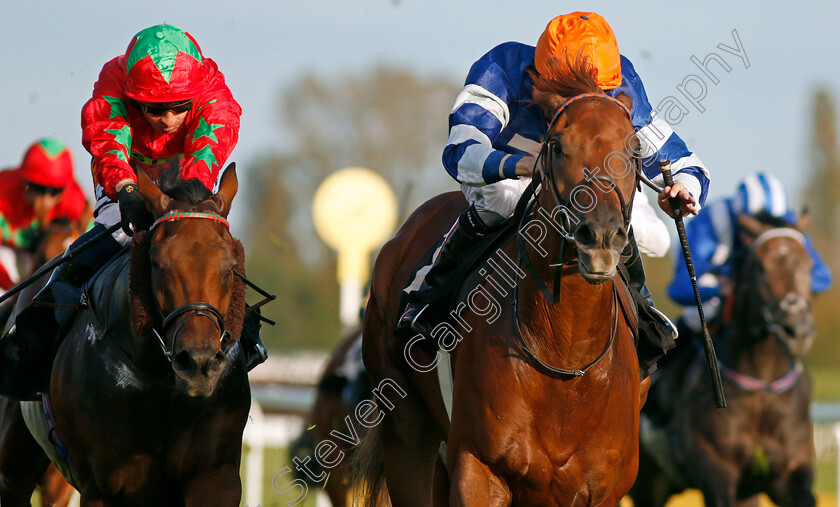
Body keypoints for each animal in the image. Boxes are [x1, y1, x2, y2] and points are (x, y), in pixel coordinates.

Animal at [0, 166, 251, 504]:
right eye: (157, 263)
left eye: (230, 267)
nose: (199, 363)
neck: (162, 384)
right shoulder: (103, 486)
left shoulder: (215, 477)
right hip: (14, 466)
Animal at [354, 56, 648, 507]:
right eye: (556, 146)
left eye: (634, 149)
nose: (599, 235)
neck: (566, 356)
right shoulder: (478, 466)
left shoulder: (605, 488)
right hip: (406, 431)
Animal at [632, 212, 816, 506]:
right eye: (760, 267)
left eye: (809, 265)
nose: (797, 331)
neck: (761, 387)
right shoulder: (716, 468)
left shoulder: (791, 475)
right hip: (646, 482)